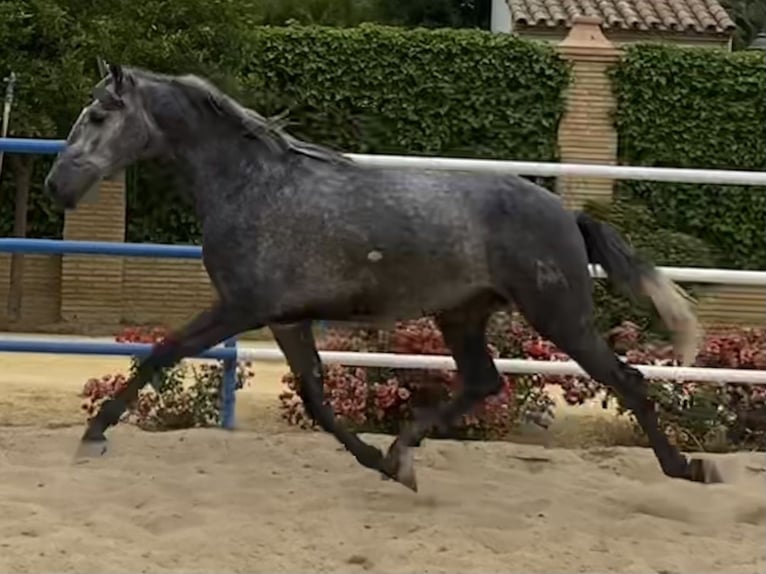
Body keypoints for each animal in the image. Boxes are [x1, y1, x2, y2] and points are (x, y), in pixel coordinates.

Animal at [45, 66, 724, 490]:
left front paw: (92, 436)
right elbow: (318, 401)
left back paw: (688, 468)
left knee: (627, 380)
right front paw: (380, 462)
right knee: (483, 381)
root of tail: (566, 214)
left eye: (99, 114)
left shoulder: (240, 308)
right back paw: (403, 451)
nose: (57, 185)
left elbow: (162, 352)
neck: (254, 186)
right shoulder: (286, 319)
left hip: (559, 316)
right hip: (462, 314)